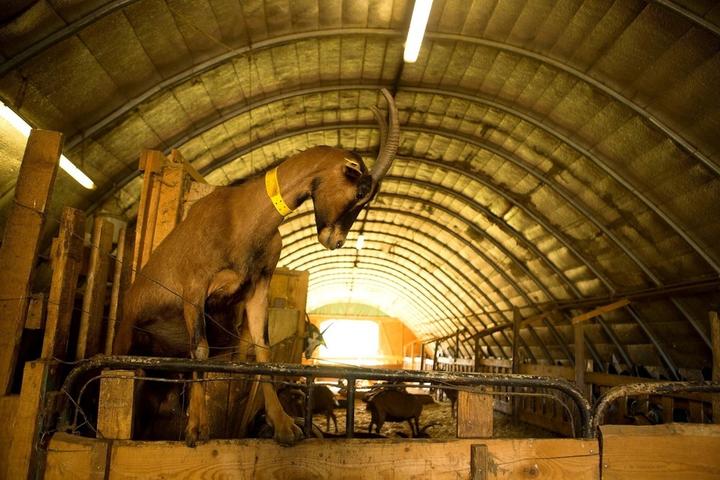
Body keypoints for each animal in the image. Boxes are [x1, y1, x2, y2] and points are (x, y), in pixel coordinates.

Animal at [115, 87, 402, 446]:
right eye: (360, 190)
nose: (334, 241)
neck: (242, 216)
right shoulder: (194, 287)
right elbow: (200, 349)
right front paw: (197, 429)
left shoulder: (257, 288)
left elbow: (262, 351)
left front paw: (283, 426)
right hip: (129, 333)